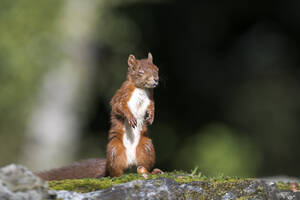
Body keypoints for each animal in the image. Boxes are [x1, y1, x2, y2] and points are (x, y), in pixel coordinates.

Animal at [36, 53, 161, 181]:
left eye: (157, 69)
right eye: (140, 71)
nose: (156, 79)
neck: (141, 89)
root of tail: (131, 162)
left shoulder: (150, 99)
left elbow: (152, 107)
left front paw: (151, 117)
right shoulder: (121, 94)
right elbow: (118, 106)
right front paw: (130, 117)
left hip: (147, 148)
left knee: (143, 165)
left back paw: (151, 171)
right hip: (115, 151)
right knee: (114, 172)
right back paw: (117, 176)